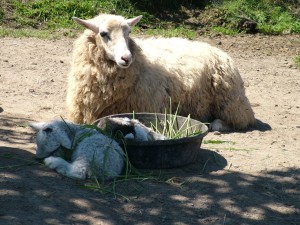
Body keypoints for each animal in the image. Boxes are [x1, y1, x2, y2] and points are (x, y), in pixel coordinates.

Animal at [65, 13, 255, 132]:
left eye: (129, 32)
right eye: (104, 33)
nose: (126, 58)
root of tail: (217, 50)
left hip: (231, 99)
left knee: (242, 120)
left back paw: (216, 125)